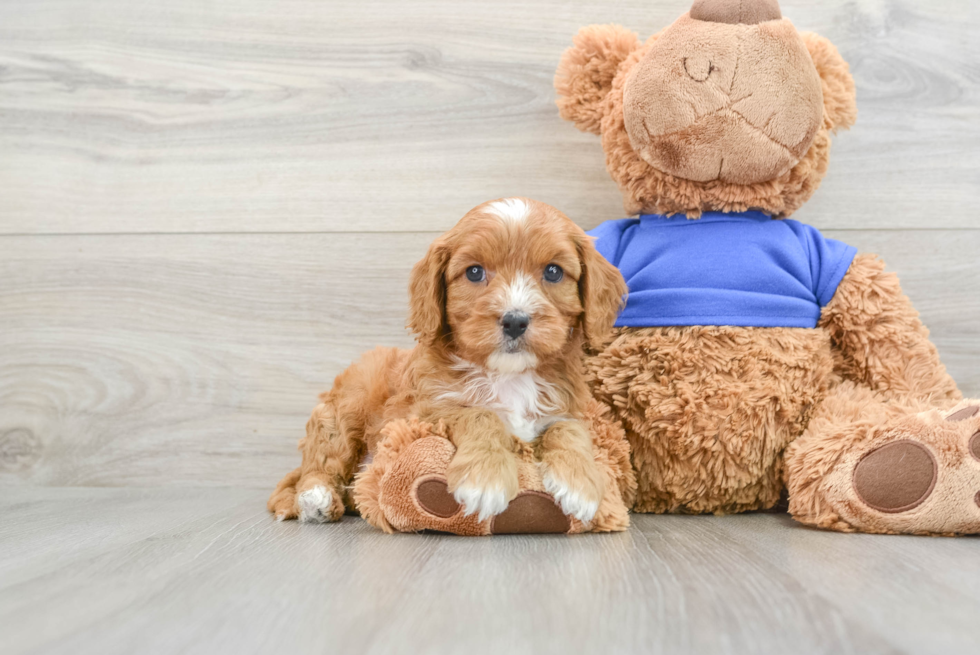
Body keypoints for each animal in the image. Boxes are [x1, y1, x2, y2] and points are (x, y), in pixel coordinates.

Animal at [268, 196, 628, 528]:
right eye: (474, 272)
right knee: (319, 465)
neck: (508, 376)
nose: (515, 321)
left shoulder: (565, 407)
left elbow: (570, 429)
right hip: (345, 412)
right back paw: (317, 498)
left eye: (553, 272)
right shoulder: (421, 412)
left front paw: (580, 483)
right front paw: (486, 479)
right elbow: (479, 414)